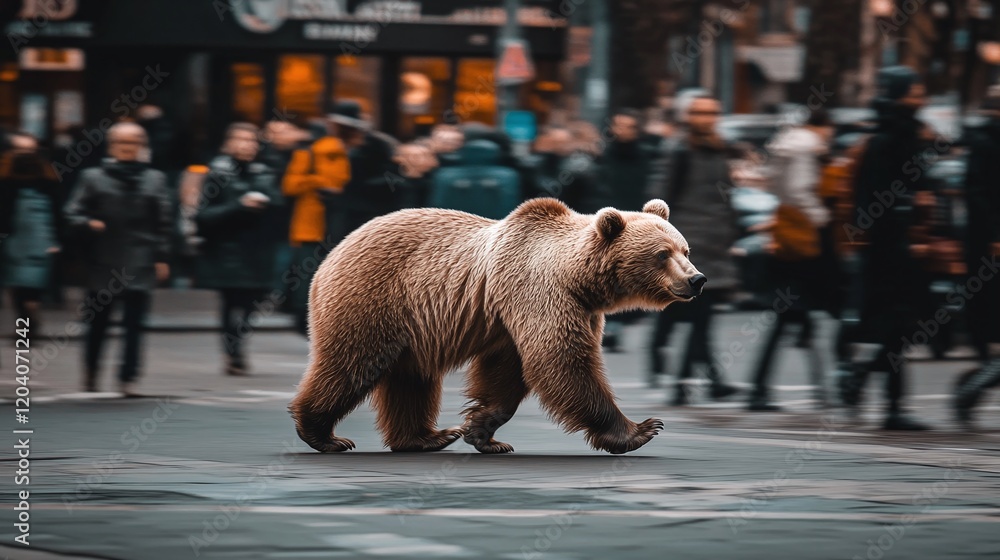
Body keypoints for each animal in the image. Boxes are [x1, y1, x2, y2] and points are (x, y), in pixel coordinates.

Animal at [289, 198, 706, 454]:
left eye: (685, 249)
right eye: (662, 254)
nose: (697, 279)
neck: (580, 280)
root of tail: (331, 254)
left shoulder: (520, 318)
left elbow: (509, 374)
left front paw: (482, 432)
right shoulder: (540, 293)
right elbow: (561, 363)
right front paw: (641, 429)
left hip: (411, 327)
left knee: (411, 378)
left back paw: (428, 437)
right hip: (373, 299)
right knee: (351, 364)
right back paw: (324, 434)